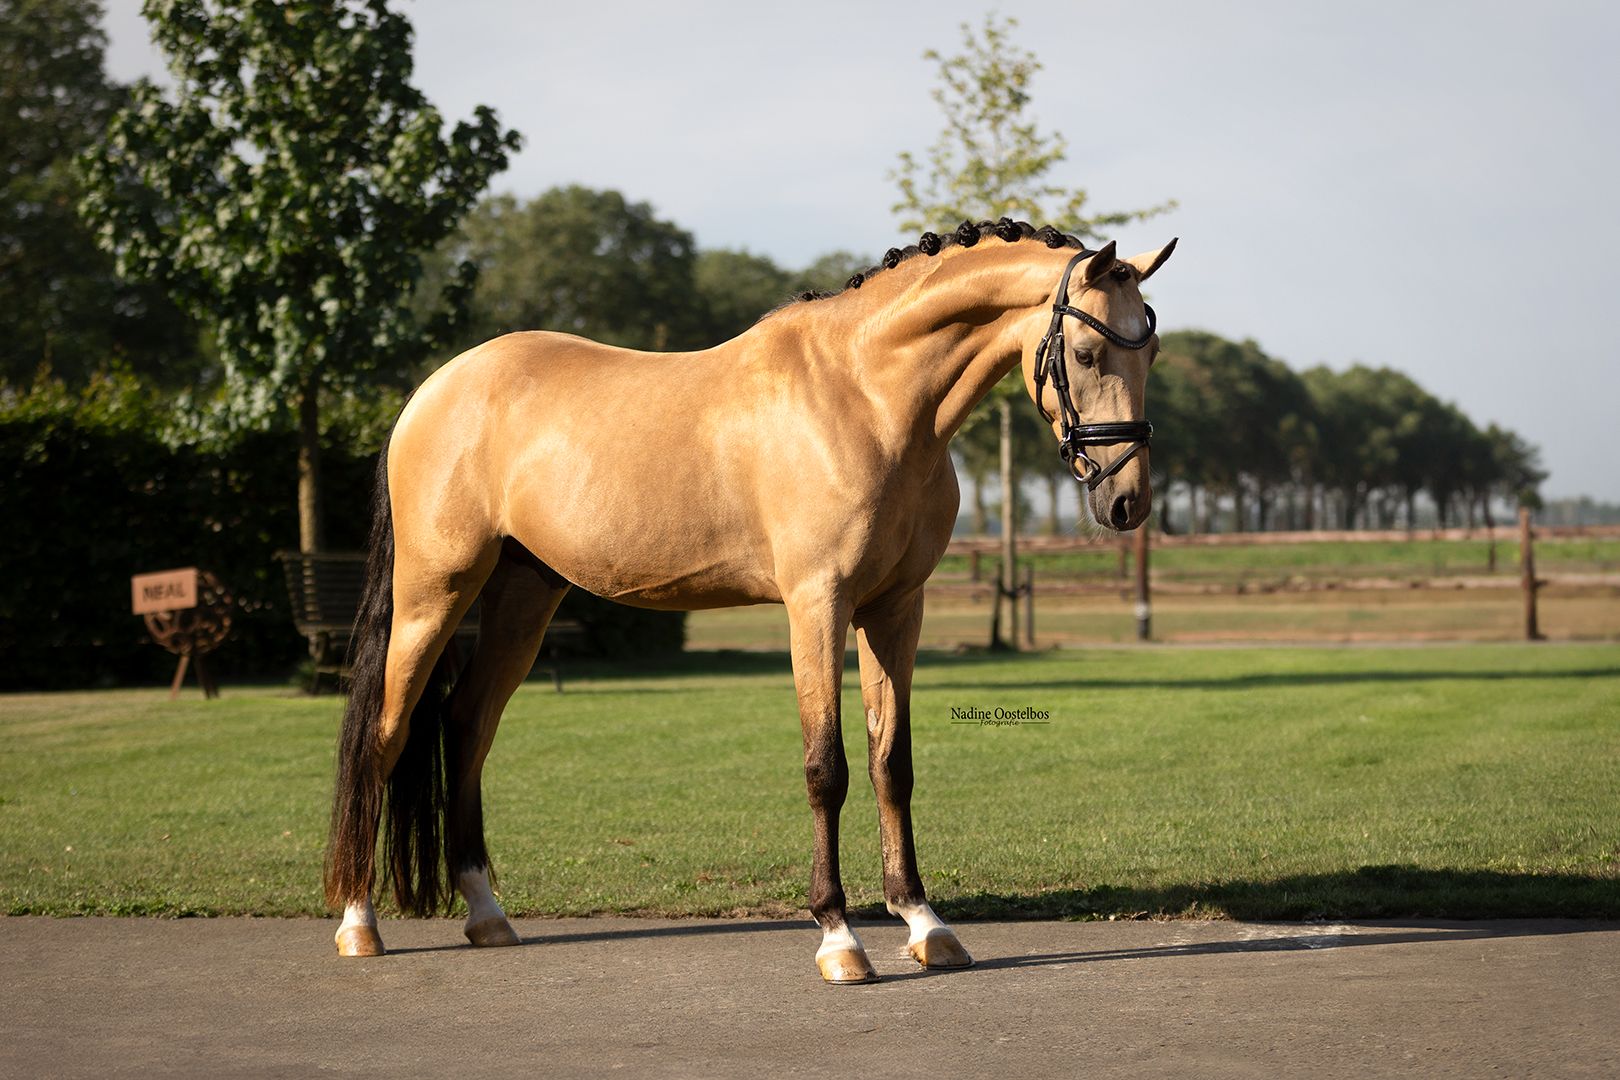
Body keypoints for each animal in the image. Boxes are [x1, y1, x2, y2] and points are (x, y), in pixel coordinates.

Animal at [325, 218, 1177, 983]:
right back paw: (359, 924)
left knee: (467, 726)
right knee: (386, 734)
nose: (1127, 503)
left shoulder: (895, 609)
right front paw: (839, 938)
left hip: (523, 595)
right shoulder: (817, 604)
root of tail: (434, 391)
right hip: (434, 591)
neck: (867, 397)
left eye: (1152, 350)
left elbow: (890, 763)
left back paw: (485, 912)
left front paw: (925, 925)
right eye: (1088, 352)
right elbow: (826, 767)